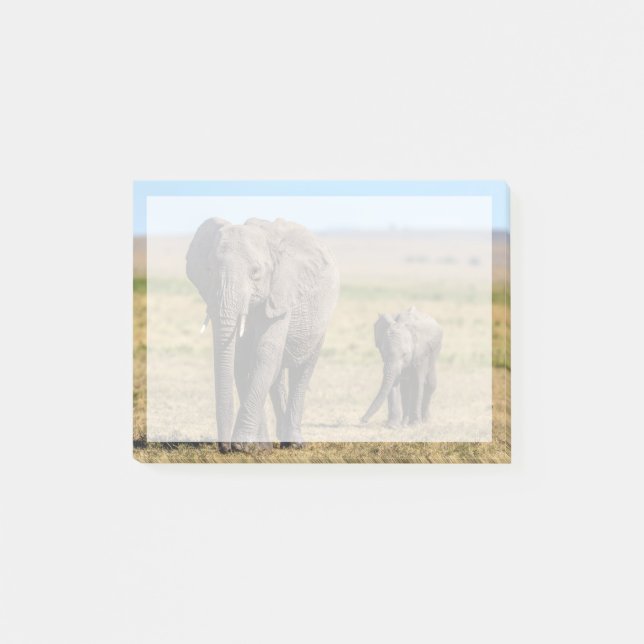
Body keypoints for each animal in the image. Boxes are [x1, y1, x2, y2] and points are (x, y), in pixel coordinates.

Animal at [186, 217, 340, 452]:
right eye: (209, 270)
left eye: (255, 272)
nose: (224, 448)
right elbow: (242, 360)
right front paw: (257, 447)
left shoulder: (282, 292)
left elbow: (265, 353)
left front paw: (242, 445)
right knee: (277, 377)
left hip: (321, 322)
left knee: (302, 370)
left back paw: (294, 443)